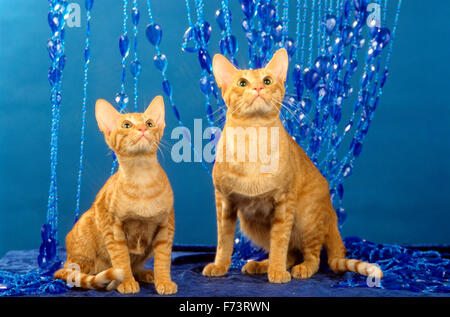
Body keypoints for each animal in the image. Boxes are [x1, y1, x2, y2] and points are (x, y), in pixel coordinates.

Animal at [53, 95, 177, 294]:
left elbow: (163, 258)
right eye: (126, 125)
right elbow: (121, 259)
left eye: (149, 123)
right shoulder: (112, 226)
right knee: (76, 274)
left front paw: (164, 281)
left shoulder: (166, 225)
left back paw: (146, 274)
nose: (143, 129)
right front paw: (126, 282)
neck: (142, 179)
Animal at [204, 48, 384, 282]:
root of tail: (331, 211)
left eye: (268, 80)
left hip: (306, 219)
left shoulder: (284, 202)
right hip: (251, 223)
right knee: (291, 253)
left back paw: (299, 268)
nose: (258, 87)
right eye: (242, 83)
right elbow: (224, 242)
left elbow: (279, 243)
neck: (253, 138)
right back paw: (261, 265)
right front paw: (219, 266)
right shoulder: (224, 202)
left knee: (312, 256)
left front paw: (277, 272)